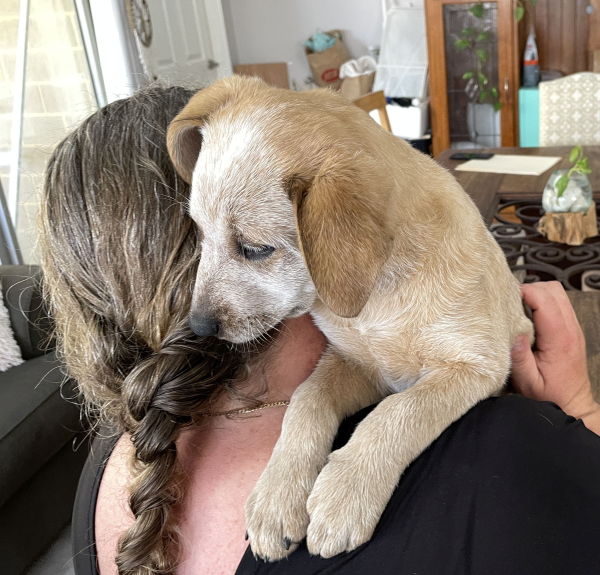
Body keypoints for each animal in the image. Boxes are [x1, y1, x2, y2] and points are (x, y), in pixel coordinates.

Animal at [165, 76, 536, 564]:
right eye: (200, 236)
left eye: (255, 249)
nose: (200, 327)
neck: (376, 300)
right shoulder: (355, 363)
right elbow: (306, 400)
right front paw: (276, 496)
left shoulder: (477, 366)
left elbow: (399, 412)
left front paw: (346, 492)